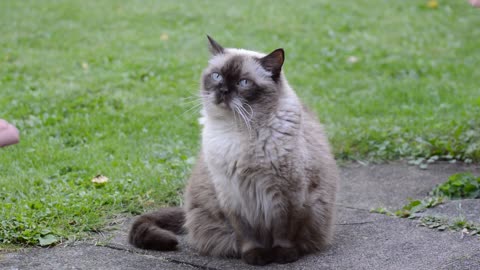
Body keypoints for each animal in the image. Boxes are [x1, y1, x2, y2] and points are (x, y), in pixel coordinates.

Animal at [127, 36, 338, 266]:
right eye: (217, 76)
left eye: (243, 83)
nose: (223, 91)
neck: (238, 129)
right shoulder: (232, 196)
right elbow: (247, 235)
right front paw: (255, 257)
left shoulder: (289, 193)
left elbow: (284, 231)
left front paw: (283, 256)